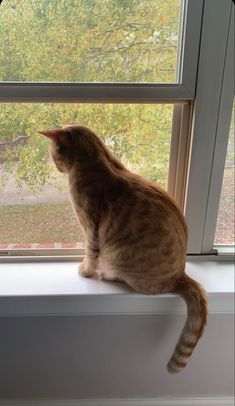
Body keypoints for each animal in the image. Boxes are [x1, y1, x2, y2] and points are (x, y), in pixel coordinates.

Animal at [39, 124, 207, 374]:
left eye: (54, 155)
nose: (57, 166)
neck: (97, 158)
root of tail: (181, 275)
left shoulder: (90, 225)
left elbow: (90, 253)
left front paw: (86, 270)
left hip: (118, 259)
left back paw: (108, 275)